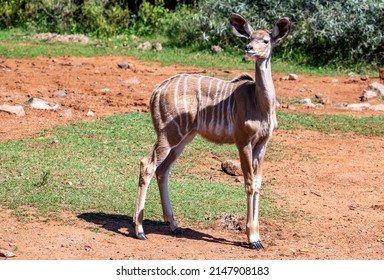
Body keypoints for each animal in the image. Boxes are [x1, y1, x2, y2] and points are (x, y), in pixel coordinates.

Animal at [133, 13, 292, 249]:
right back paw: (140, 230)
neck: (259, 102)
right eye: (250, 37)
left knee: (163, 170)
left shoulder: (262, 144)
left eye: (266, 40)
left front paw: (257, 236)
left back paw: (174, 225)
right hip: (168, 135)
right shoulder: (243, 142)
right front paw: (252, 238)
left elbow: (258, 182)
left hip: (183, 139)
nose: (248, 48)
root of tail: (157, 91)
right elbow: (248, 182)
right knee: (147, 164)